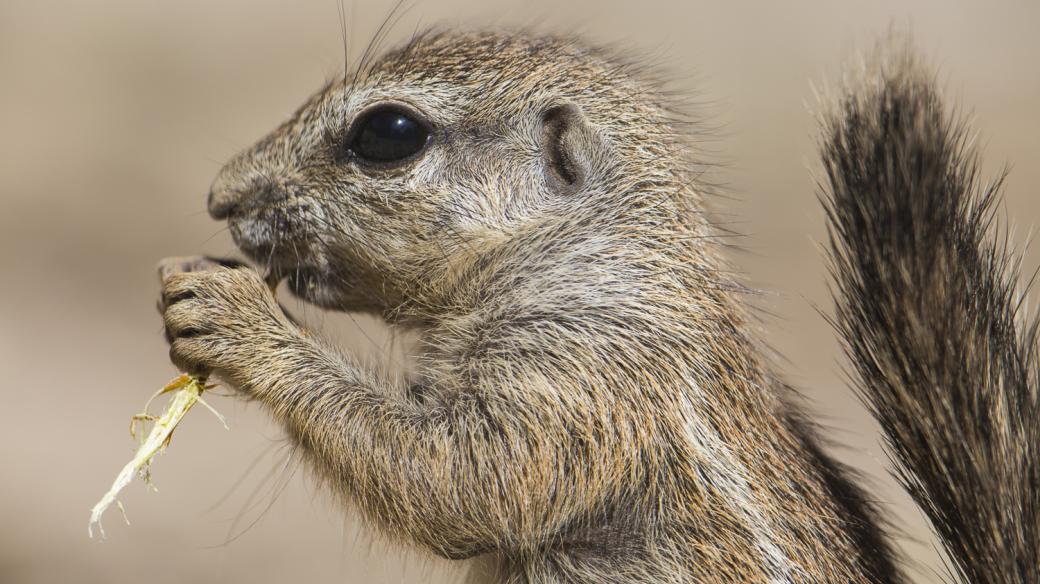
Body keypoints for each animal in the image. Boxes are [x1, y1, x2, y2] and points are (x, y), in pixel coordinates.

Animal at [156, 29, 1040, 577]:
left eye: (388, 133)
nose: (220, 195)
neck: (591, 254)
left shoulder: (586, 372)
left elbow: (456, 481)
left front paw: (229, 313)